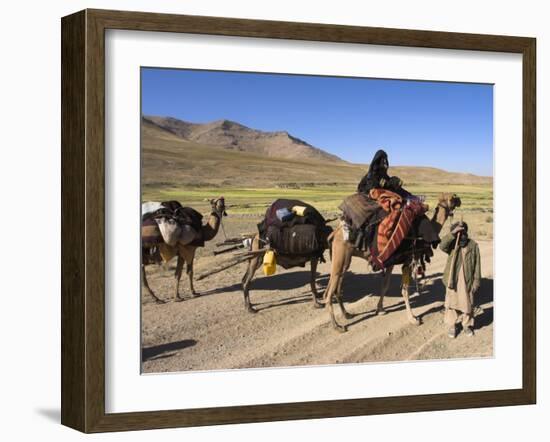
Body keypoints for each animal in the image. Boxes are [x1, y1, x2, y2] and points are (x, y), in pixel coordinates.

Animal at [324, 193, 462, 332]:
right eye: (452, 198)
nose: (459, 200)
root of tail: (335, 233)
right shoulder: (408, 260)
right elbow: (405, 290)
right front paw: (413, 319)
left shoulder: (390, 262)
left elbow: (385, 286)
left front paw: (380, 309)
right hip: (340, 255)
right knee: (329, 291)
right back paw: (337, 326)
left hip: (344, 260)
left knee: (335, 287)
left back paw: (347, 314)